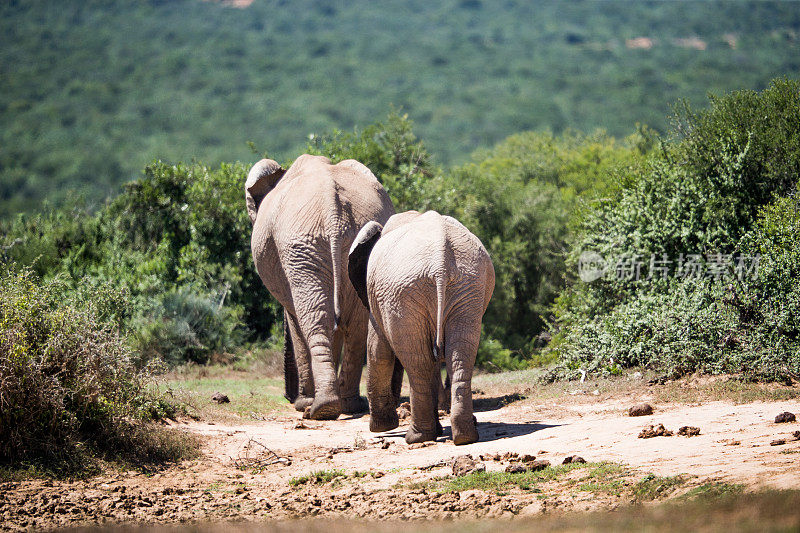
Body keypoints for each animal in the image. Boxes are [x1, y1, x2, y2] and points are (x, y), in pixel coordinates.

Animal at [244, 154, 394, 420]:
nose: (287, 396)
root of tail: (333, 211)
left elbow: (295, 321)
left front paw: (302, 402)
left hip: (300, 246)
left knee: (315, 320)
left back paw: (317, 407)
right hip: (348, 246)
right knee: (354, 324)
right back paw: (346, 405)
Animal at [350, 210, 494, 442]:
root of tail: (440, 263)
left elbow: (377, 351)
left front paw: (382, 428)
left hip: (403, 294)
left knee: (418, 363)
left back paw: (416, 437)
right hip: (468, 287)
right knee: (459, 355)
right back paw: (465, 436)